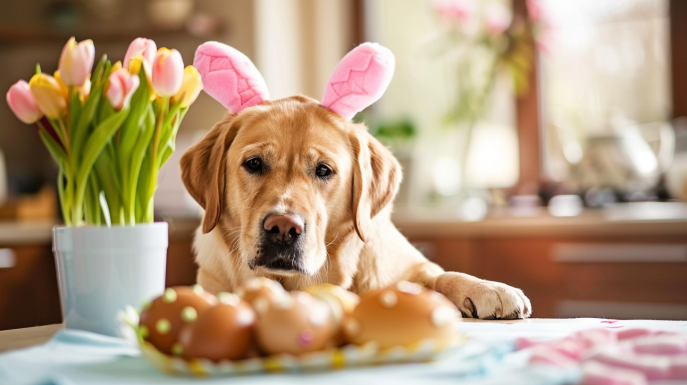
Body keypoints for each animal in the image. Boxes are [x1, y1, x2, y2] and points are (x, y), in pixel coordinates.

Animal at [181, 41, 532, 318]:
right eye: (253, 163)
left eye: (324, 170)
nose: (282, 228)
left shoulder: (411, 267)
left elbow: (441, 274)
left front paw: (489, 289)